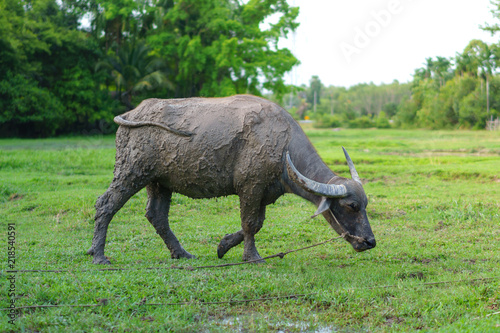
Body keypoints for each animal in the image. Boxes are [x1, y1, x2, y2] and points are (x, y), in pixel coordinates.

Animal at [86, 94, 376, 264]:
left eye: (365, 204)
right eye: (351, 206)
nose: (370, 242)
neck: (282, 146)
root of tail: (132, 114)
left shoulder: (264, 193)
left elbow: (256, 224)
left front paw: (223, 246)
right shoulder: (250, 187)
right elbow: (250, 224)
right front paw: (252, 257)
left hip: (159, 182)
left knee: (156, 215)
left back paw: (181, 253)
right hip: (131, 172)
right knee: (106, 204)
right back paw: (99, 255)